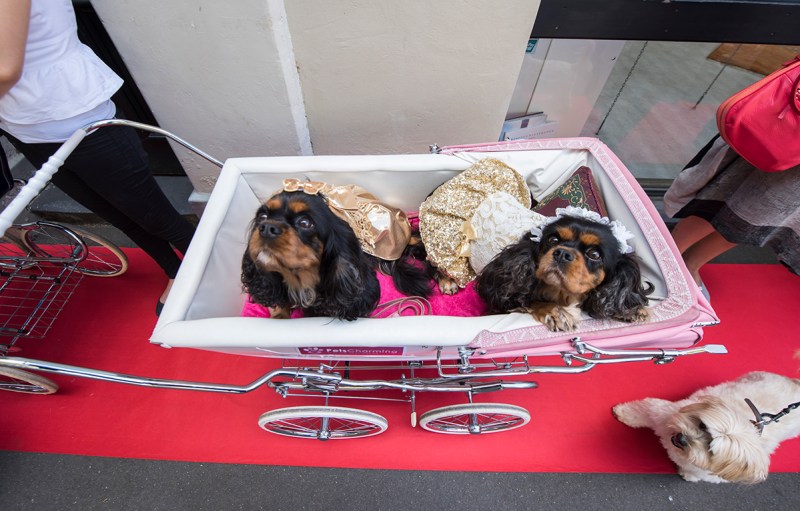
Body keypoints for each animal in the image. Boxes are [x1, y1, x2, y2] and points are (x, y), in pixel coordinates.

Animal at [612, 372, 800, 484]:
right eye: (702, 425)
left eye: (710, 448)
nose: (682, 438)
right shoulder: (664, 412)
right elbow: (643, 410)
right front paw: (624, 413)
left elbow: (692, 472)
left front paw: (686, 473)